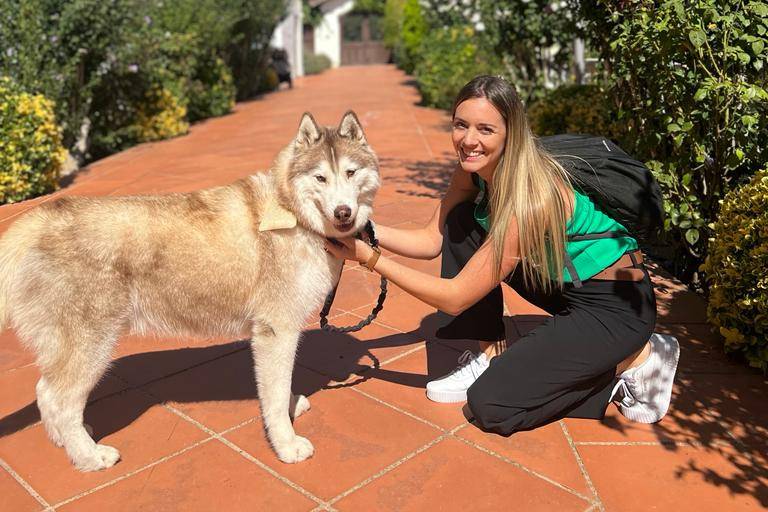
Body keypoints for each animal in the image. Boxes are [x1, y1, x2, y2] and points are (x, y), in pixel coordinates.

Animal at [0, 112, 380, 472]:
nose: (343, 212)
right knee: (60, 401)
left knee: (45, 393)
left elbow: (279, 386)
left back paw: (68, 442)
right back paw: (89, 456)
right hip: (92, 346)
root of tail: (38, 218)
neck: (292, 212)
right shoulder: (276, 330)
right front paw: (285, 444)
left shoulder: (276, 335)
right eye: (320, 178)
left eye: (350, 172)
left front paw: (290, 406)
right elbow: (272, 396)